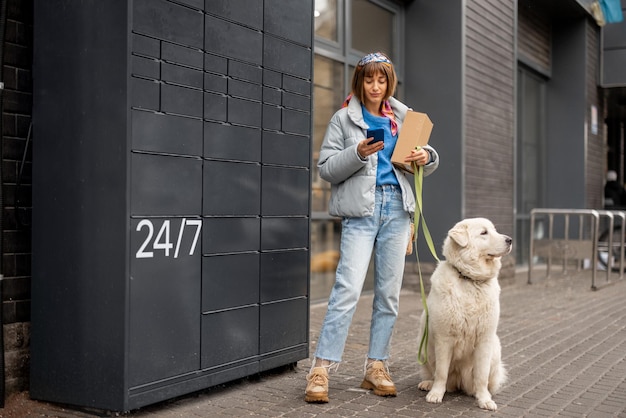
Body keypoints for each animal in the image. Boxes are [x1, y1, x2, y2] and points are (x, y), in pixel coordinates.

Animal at [416, 219, 510, 412]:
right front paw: (436, 394)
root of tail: (458, 383)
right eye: (484, 233)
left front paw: (484, 400)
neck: (469, 279)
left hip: (495, 348)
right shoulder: (444, 338)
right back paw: (428, 384)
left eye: (495, 230)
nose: (510, 240)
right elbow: (441, 372)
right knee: (434, 373)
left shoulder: (484, 339)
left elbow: (481, 376)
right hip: (423, 340)